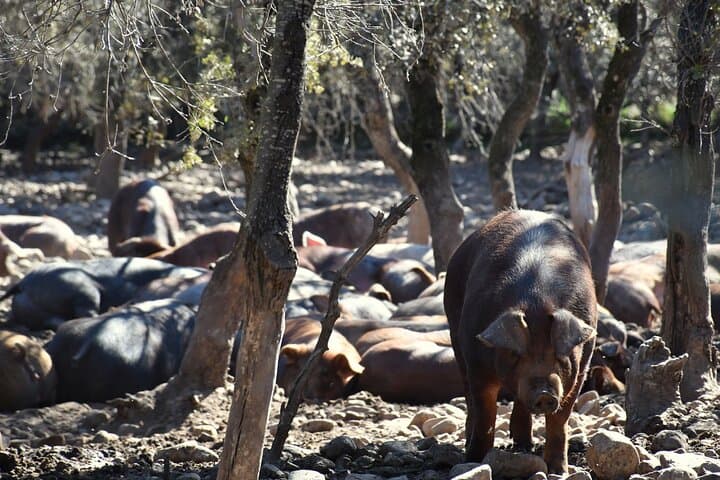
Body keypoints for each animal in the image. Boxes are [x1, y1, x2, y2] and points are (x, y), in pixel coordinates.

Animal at [444, 210, 597, 474]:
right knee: (469, 398)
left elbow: (560, 420)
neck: (536, 300)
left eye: (560, 355)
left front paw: (558, 471)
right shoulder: (477, 363)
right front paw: (473, 462)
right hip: (454, 328)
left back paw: (524, 446)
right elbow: (485, 415)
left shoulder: (580, 368)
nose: (544, 393)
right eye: (517, 354)